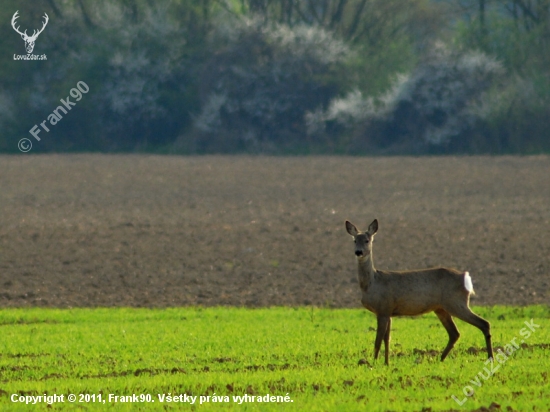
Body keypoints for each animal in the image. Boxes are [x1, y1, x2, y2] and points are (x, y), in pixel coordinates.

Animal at [344, 220, 496, 366]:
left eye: (367, 240)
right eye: (354, 240)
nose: (358, 252)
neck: (372, 283)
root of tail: (466, 277)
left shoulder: (383, 308)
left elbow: (378, 340)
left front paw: (373, 363)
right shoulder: (388, 311)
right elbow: (387, 339)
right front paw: (386, 363)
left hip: (456, 302)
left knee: (483, 323)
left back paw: (490, 358)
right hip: (441, 308)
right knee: (454, 333)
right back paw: (440, 359)